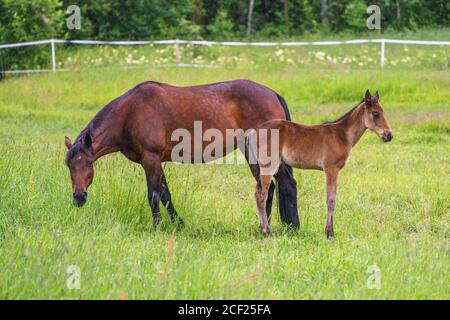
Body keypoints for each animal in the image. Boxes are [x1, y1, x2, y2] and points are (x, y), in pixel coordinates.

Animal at [64, 80, 298, 228]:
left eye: (88, 163)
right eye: (69, 166)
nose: (79, 197)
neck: (129, 113)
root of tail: (273, 94)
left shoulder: (150, 159)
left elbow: (153, 195)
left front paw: (157, 227)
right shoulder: (155, 162)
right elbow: (165, 195)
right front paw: (179, 224)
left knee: (283, 185)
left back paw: (288, 226)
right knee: (270, 187)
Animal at [250, 90, 394, 238]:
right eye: (375, 113)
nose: (389, 135)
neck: (341, 135)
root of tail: (255, 131)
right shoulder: (331, 169)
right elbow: (331, 200)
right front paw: (330, 233)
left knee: (258, 193)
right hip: (268, 165)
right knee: (261, 195)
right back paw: (266, 232)